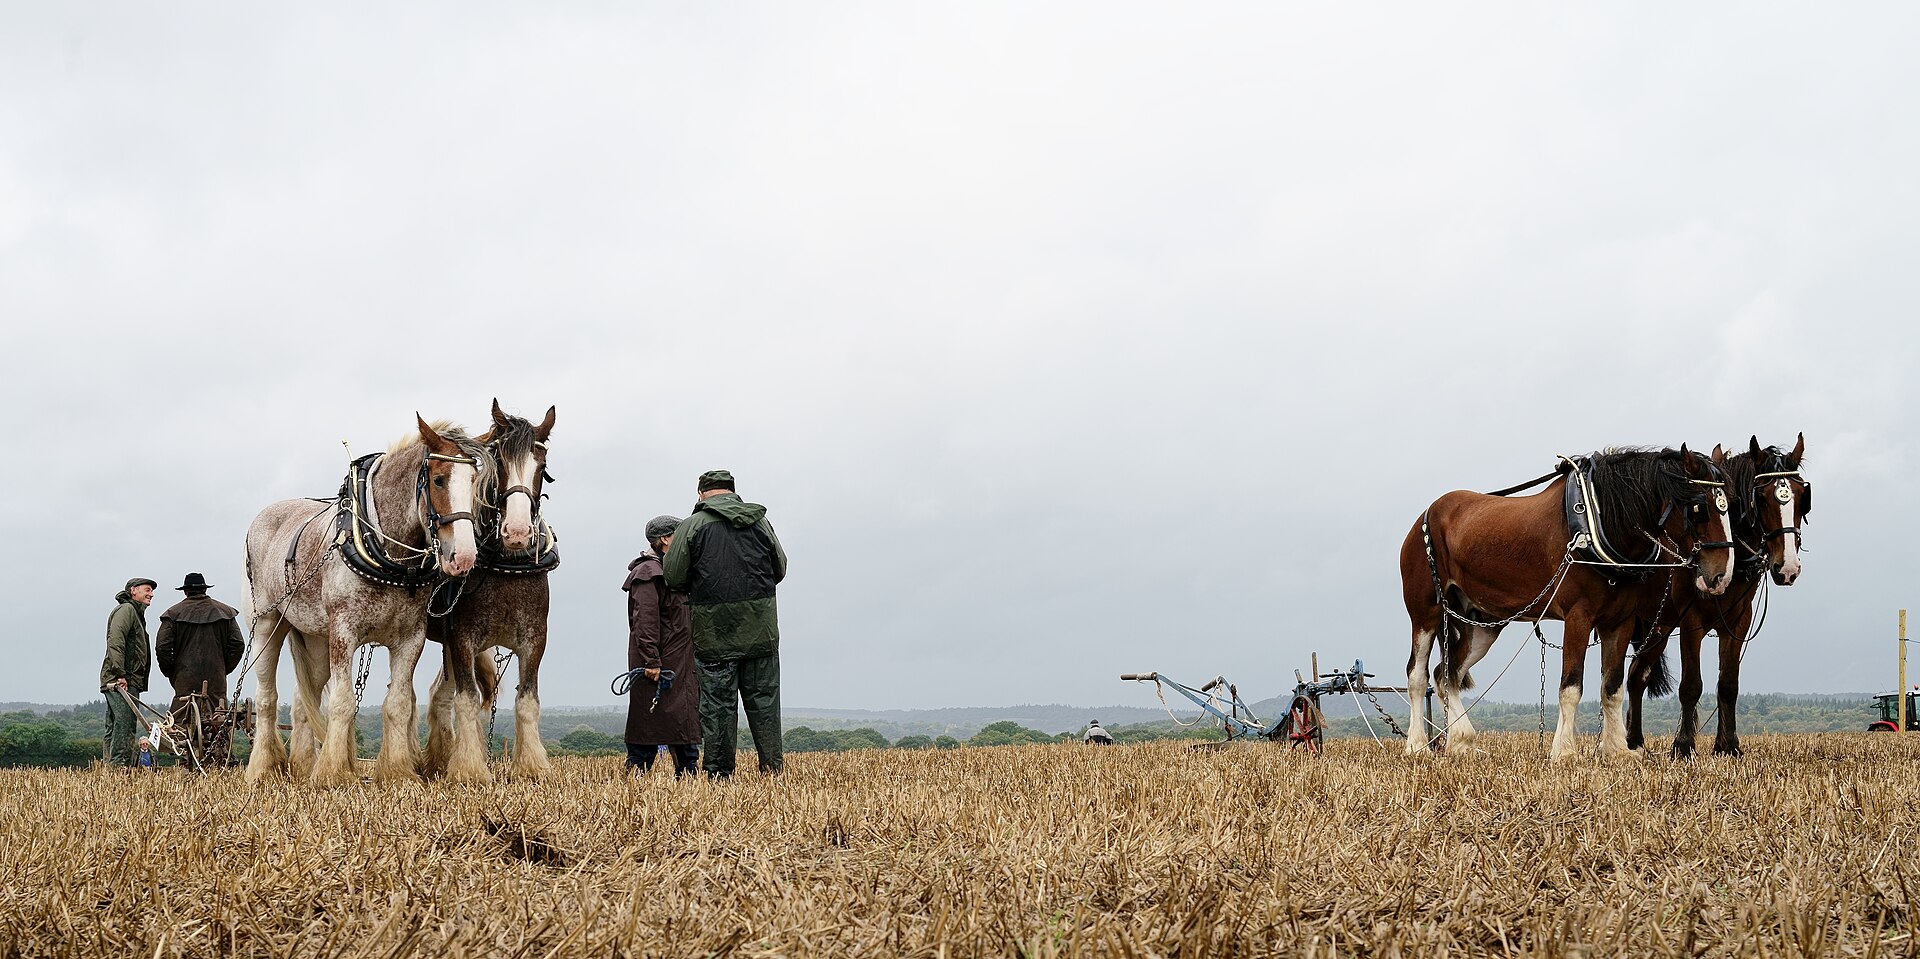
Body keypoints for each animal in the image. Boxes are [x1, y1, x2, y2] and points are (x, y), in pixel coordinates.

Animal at [240, 416, 489, 786]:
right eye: (438, 479)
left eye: (475, 482)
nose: (463, 557)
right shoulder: (344, 632)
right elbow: (343, 702)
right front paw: (332, 773)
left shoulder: (410, 638)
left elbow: (398, 703)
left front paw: (399, 772)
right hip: (267, 625)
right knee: (267, 697)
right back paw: (262, 768)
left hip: (314, 639)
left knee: (302, 701)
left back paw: (302, 766)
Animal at [422, 402, 558, 780]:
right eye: (499, 464)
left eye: (542, 467)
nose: (517, 532)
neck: (505, 566)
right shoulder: (462, 639)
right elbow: (467, 700)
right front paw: (469, 768)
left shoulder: (534, 638)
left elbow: (527, 700)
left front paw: (532, 766)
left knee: (440, 695)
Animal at [1400, 446, 1736, 761]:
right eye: (1699, 507)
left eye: (1730, 504)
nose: (1722, 575)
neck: (1599, 520)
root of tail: (1426, 515)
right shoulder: (1578, 617)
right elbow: (1571, 687)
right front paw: (1564, 751)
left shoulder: (1620, 621)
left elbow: (1612, 688)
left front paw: (1617, 749)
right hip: (1426, 613)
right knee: (1418, 675)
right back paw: (1417, 745)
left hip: (1481, 624)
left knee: (1447, 674)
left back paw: (1462, 741)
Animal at [1625, 434, 1810, 757]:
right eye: (1762, 497)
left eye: (1801, 496)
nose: (1787, 567)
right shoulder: (1691, 621)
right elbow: (1691, 685)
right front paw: (1683, 746)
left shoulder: (1738, 622)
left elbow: (1728, 684)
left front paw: (1728, 745)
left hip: (1660, 626)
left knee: (1638, 676)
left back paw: (1635, 741)